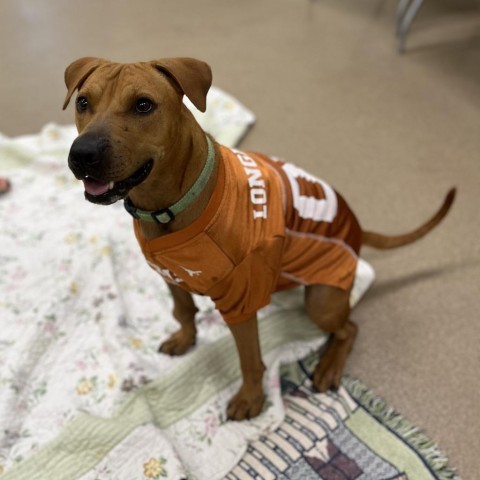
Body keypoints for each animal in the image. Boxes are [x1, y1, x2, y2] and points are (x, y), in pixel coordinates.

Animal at [63, 58, 458, 422]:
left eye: (143, 105)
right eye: (83, 102)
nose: (82, 155)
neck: (169, 206)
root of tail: (358, 228)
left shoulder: (240, 303)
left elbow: (250, 359)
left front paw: (251, 399)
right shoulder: (170, 276)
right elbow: (184, 311)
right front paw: (185, 338)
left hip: (322, 301)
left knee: (349, 328)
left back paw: (329, 365)